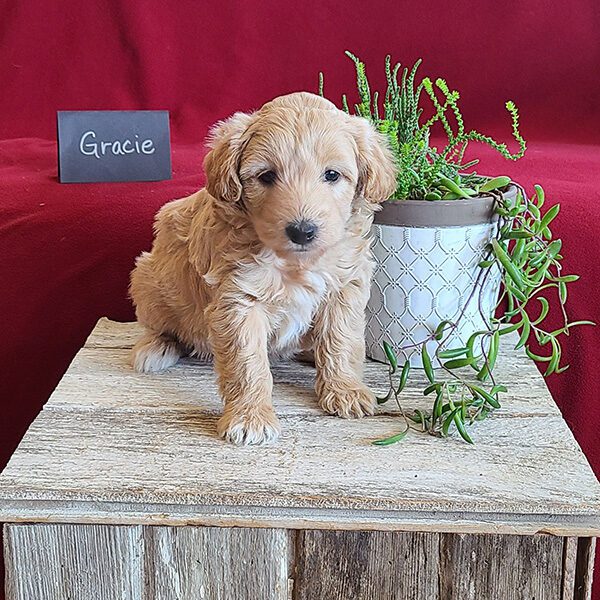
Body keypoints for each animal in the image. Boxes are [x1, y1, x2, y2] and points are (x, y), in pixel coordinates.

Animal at [129, 91, 396, 442]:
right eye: (267, 176)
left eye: (332, 175)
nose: (302, 231)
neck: (296, 261)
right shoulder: (239, 299)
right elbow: (248, 362)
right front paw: (250, 417)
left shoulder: (345, 285)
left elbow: (341, 339)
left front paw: (345, 390)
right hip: (149, 279)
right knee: (158, 325)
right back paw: (157, 347)